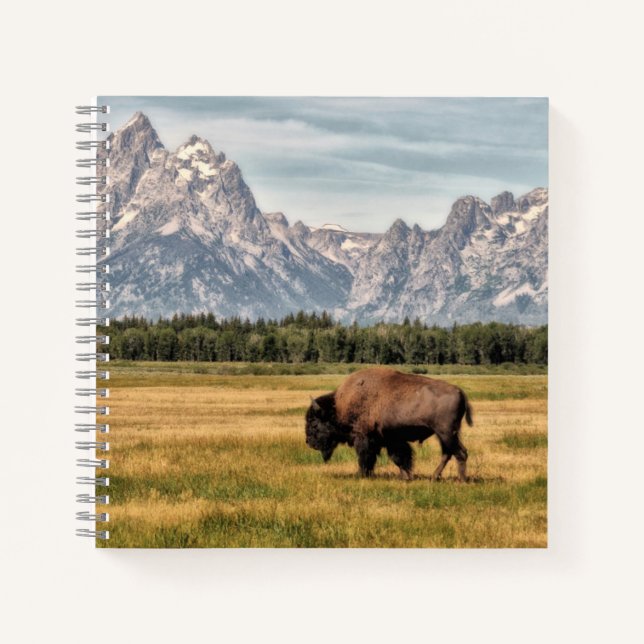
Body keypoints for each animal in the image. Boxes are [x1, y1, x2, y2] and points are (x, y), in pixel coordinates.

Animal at [305, 367, 473, 481]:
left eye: (314, 423)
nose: (309, 442)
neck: (338, 407)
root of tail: (460, 392)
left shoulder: (365, 438)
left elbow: (366, 458)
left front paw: (362, 475)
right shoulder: (392, 440)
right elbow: (399, 458)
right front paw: (406, 477)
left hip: (446, 433)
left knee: (460, 453)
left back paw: (461, 480)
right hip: (444, 435)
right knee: (448, 453)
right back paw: (434, 477)